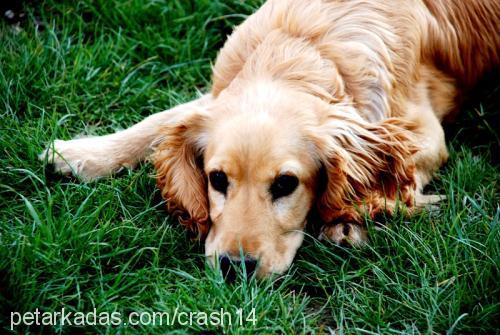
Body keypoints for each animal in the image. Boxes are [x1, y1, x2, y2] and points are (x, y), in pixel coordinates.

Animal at [43, 0, 500, 278]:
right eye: (217, 180)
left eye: (285, 184)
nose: (235, 266)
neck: (297, 54)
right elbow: (160, 121)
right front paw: (80, 154)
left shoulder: (425, 132)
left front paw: (349, 220)